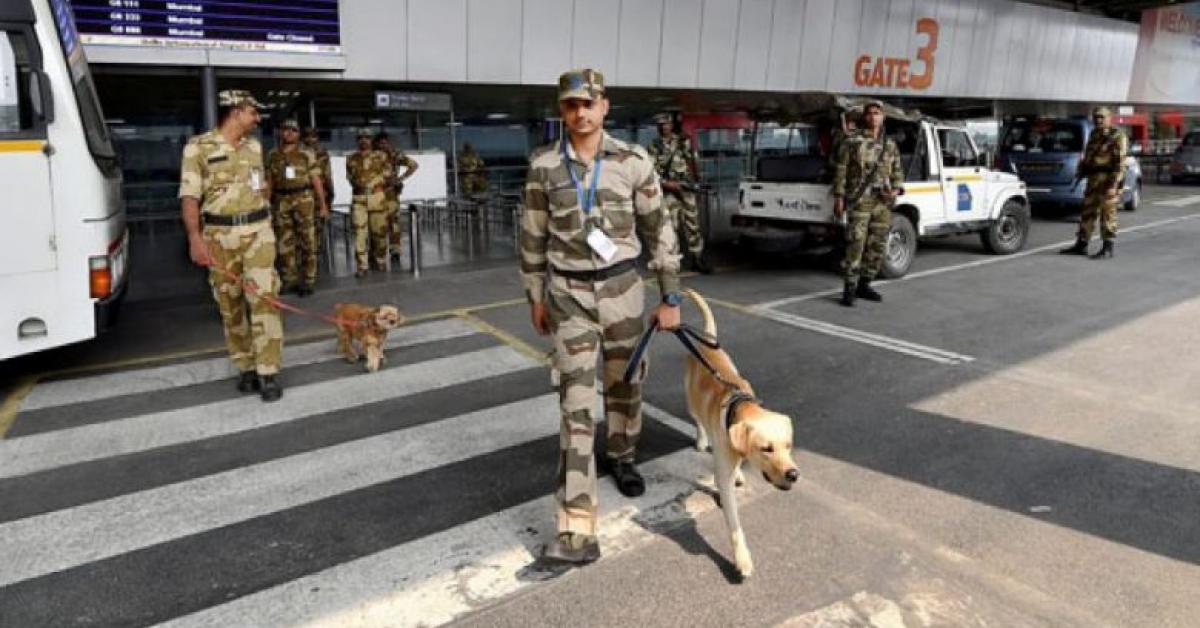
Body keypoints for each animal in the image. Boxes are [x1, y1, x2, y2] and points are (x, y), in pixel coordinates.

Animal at [686, 290, 796, 581]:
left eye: (788, 446)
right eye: (766, 448)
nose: (794, 474)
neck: (739, 406)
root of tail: (706, 341)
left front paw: (738, 475)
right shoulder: (724, 467)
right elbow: (735, 525)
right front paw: (742, 559)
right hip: (690, 400)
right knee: (698, 420)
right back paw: (701, 440)